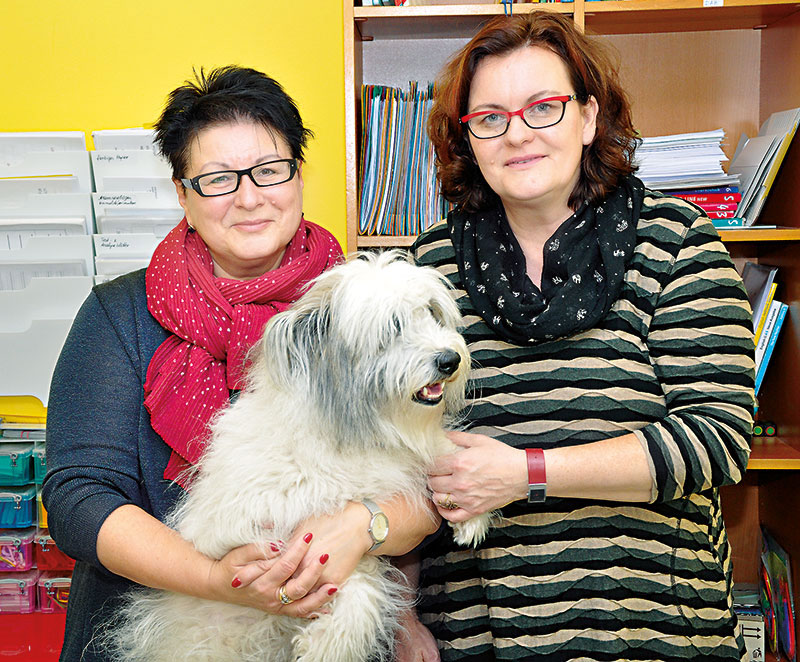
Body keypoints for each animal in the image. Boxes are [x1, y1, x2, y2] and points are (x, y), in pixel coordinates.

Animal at [104, 252, 494, 660]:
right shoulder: (257, 529)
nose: (450, 359)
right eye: (393, 326)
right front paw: (326, 645)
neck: (355, 429)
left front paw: (469, 510)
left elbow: (441, 453)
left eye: (432, 313)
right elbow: (355, 581)